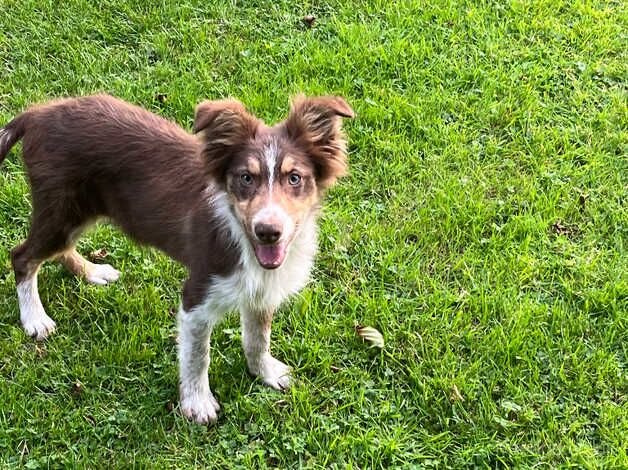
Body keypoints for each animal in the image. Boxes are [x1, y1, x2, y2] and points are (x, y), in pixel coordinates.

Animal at [0, 93, 354, 424]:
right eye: (245, 178)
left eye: (294, 178)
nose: (268, 232)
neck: (241, 236)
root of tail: (37, 113)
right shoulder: (197, 294)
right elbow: (198, 356)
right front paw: (197, 403)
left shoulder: (263, 287)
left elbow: (257, 338)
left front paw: (265, 372)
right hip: (63, 208)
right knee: (22, 257)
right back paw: (34, 318)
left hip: (75, 212)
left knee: (56, 252)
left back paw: (92, 272)